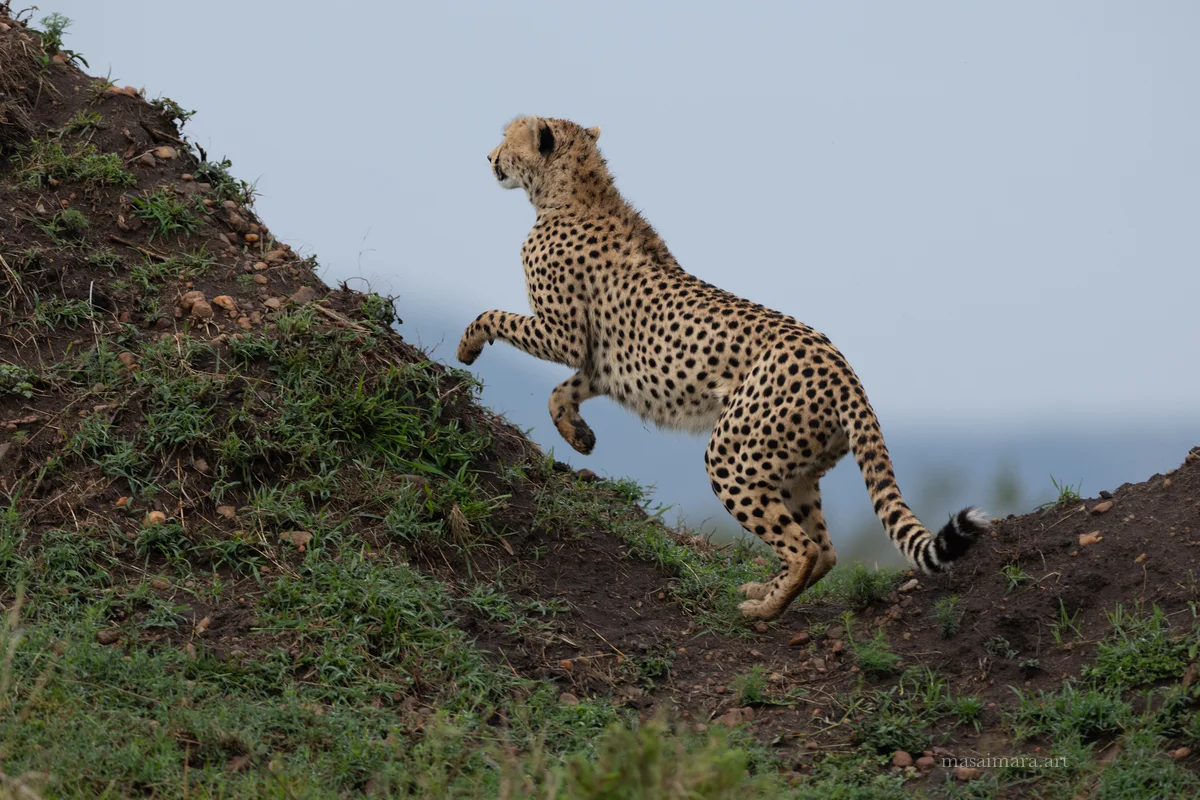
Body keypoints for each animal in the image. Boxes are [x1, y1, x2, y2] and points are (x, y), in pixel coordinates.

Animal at [458, 115, 988, 620]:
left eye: (507, 137)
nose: (488, 156)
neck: (571, 192)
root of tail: (843, 369)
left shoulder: (563, 335)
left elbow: (496, 316)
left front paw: (467, 345)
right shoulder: (605, 362)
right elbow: (562, 391)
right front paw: (578, 434)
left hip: (733, 455)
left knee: (802, 547)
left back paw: (761, 611)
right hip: (792, 468)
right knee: (825, 550)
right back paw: (766, 592)